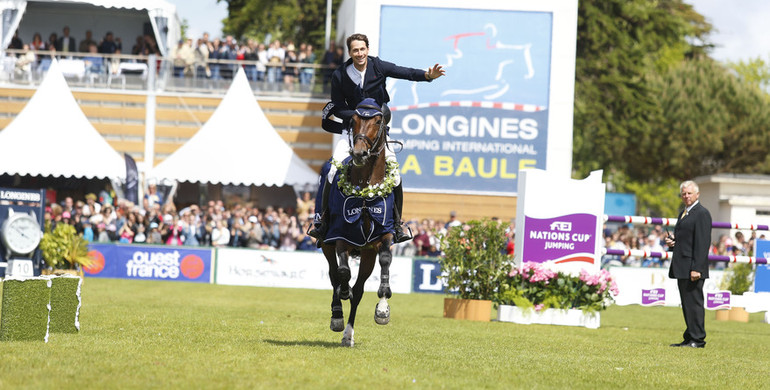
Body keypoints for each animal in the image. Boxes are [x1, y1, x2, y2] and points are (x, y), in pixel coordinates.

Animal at [320, 100, 396, 348]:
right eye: (352, 120)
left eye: (378, 120)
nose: (360, 153)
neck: (364, 191)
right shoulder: (340, 236)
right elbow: (343, 272)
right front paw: (343, 296)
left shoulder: (384, 233)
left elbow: (385, 260)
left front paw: (383, 308)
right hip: (325, 243)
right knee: (334, 274)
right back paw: (338, 316)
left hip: (367, 253)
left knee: (360, 288)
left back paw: (348, 334)